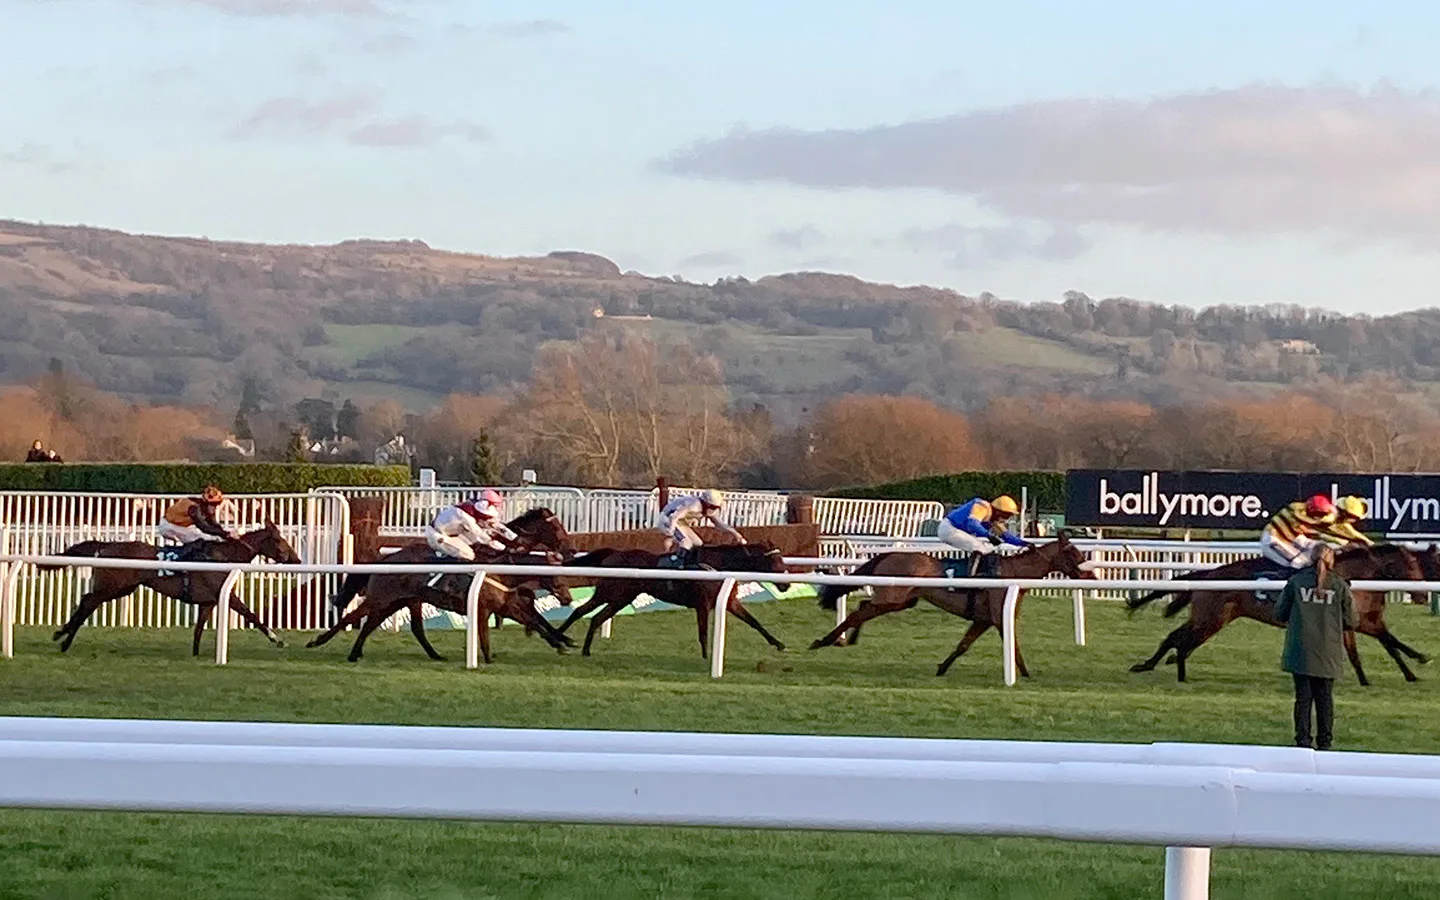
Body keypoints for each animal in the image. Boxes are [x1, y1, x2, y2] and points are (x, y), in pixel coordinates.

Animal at [40, 518, 298, 653]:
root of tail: (106, 546)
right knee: (87, 603)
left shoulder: (208, 602)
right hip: (112, 587)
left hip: (121, 588)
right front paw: (277, 639)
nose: (296, 560)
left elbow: (198, 629)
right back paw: (64, 639)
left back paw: (62, 633)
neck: (223, 555)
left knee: (86, 601)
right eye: (279, 541)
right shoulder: (226, 596)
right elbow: (251, 614)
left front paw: (196, 654)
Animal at [552, 541, 800, 659]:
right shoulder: (703, 605)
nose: (786, 585)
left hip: (619, 597)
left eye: (781, 558)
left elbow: (755, 623)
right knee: (585, 613)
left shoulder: (730, 603)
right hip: (612, 593)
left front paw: (779, 644)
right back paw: (560, 638)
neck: (718, 566)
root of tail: (613, 553)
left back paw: (575, 646)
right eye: (774, 560)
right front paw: (706, 657)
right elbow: (703, 633)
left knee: (592, 616)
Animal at [812, 532, 1088, 673]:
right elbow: (1015, 648)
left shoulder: (983, 620)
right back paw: (824, 640)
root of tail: (889, 554)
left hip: (902, 600)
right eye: (1072, 552)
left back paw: (849, 638)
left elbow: (963, 645)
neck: (1011, 574)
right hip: (893, 596)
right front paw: (1027, 675)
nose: (1089, 575)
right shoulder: (1000, 618)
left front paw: (941, 667)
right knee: (860, 612)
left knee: (863, 608)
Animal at [1128, 544, 1434, 685]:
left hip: (1214, 619)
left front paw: (1411, 668)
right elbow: (1384, 644)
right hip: (1210, 618)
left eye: (1419, 567)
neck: (1354, 575)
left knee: (1178, 638)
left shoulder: (1361, 621)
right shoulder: (1355, 622)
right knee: (1178, 639)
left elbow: (1386, 644)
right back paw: (1167, 668)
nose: (1422, 596)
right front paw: (1418, 662)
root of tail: (1208, 575)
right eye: (1411, 567)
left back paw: (1159, 665)